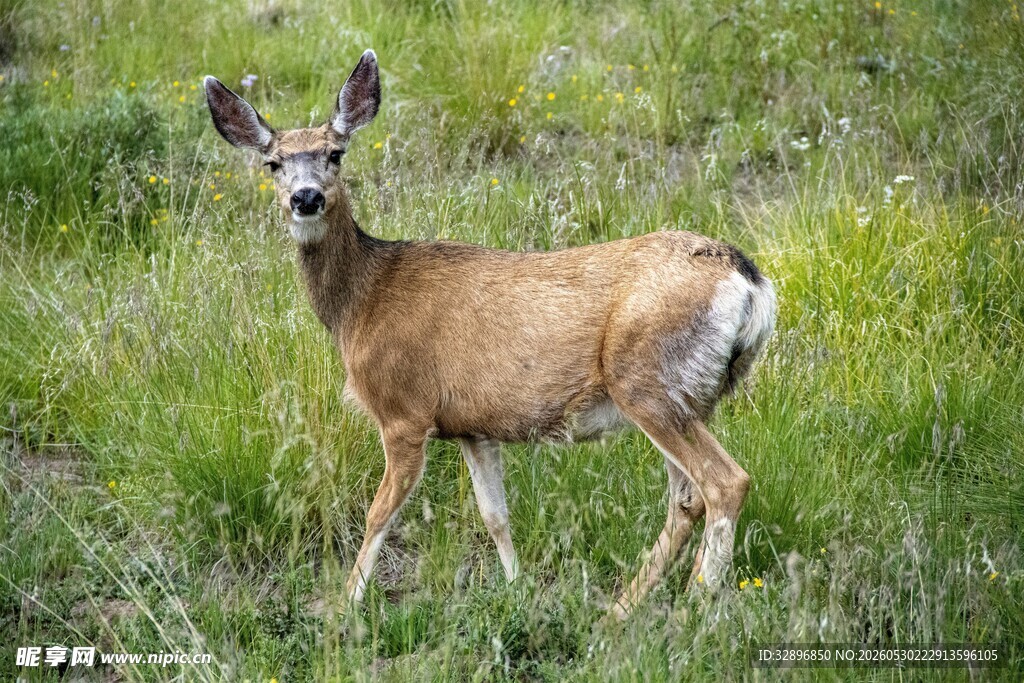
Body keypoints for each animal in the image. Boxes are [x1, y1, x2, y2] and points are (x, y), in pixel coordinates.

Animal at [204, 49, 776, 620]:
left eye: (335, 154)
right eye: (273, 164)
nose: (306, 198)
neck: (360, 303)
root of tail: (750, 282)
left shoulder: (403, 412)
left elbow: (379, 514)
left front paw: (345, 607)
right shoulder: (472, 427)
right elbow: (495, 515)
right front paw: (518, 591)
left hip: (648, 381)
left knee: (725, 482)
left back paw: (698, 607)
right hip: (690, 395)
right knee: (686, 499)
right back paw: (622, 610)